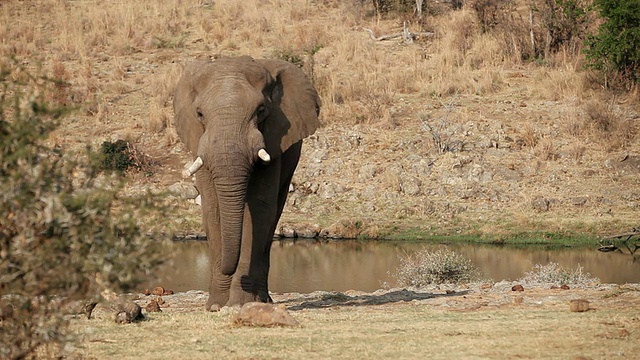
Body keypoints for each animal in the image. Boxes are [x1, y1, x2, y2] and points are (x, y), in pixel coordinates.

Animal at [172, 55, 320, 310]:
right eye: (199, 114)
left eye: (261, 111)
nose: (228, 271)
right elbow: (212, 208)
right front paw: (216, 305)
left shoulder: (274, 140)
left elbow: (258, 209)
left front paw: (240, 303)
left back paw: (264, 300)